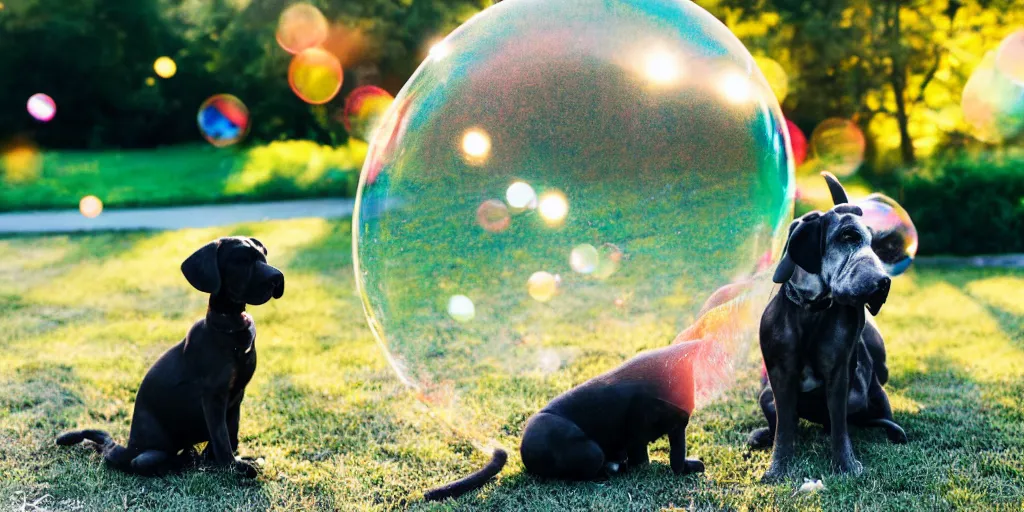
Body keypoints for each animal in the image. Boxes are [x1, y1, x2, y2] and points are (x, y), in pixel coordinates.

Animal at [58, 235, 286, 475]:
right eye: (241, 261)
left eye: (264, 256)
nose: (278, 278)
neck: (230, 326)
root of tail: (127, 447)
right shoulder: (213, 396)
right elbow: (222, 438)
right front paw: (233, 468)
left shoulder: (236, 395)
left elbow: (230, 433)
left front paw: (233, 459)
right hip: (146, 455)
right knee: (150, 460)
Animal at [419, 337, 708, 501]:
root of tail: (523, 451)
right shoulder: (654, 427)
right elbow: (663, 458)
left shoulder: (662, 430)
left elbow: (662, 457)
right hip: (590, 451)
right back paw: (612, 469)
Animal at [757, 174, 909, 481]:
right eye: (848, 236)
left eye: (874, 245)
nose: (884, 282)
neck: (810, 309)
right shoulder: (780, 377)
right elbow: (784, 431)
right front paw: (778, 468)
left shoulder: (838, 376)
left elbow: (840, 427)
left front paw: (845, 465)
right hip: (765, 396)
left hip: (868, 394)